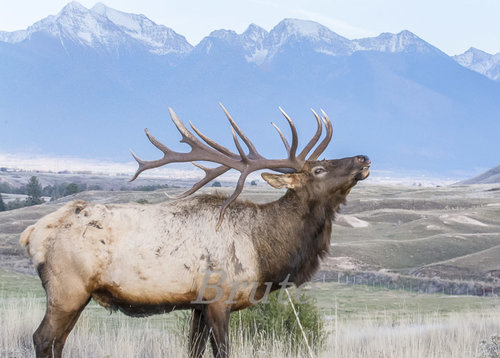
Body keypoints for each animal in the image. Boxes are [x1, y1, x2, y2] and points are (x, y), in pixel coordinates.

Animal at [19, 104, 370, 358]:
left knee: (58, 342)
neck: (264, 252)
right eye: (319, 169)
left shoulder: (198, 305)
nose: (363, 157)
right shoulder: (218, 298)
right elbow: (223, 353)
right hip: (67, 289)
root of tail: (32, 233)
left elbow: (194, 351)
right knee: (43, 338)